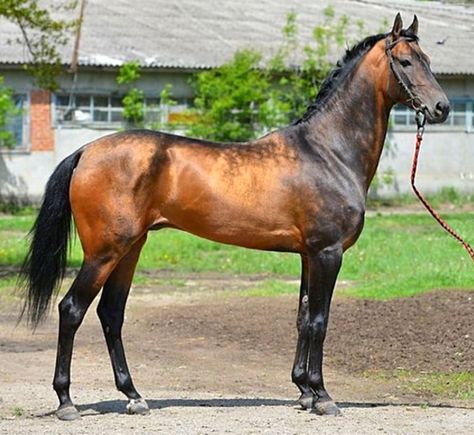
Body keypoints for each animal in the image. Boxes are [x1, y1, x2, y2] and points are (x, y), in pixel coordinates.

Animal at [19, 13, 448, 420]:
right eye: (406, 61)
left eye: (429, 60)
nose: (441, 108)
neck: (328, 152)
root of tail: (86, 151)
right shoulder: (328, 253)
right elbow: (320, 321)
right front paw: (323, 396)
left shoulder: (309, 255)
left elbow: (303, 317)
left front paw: (304, 391)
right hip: (104, 252)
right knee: (71, 310)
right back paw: (66, 402)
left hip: (131, 248)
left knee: (111, 313)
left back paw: (133, 396)